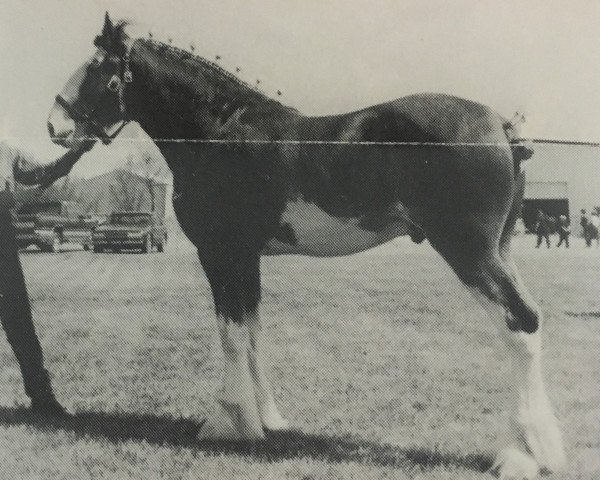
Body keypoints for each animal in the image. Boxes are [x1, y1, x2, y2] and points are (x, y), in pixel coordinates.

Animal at [27, 13, 568, 478]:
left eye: (99, 68)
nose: (55, 125)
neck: (219, 131)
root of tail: (502, 125)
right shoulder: (248, 258)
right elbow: (253, 330)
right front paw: (267, 418)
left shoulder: (221, 254)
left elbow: (231, 332)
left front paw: (231, 422)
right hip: (498, 250)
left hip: (469, 251)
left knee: (521, 323)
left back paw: (520, 455)